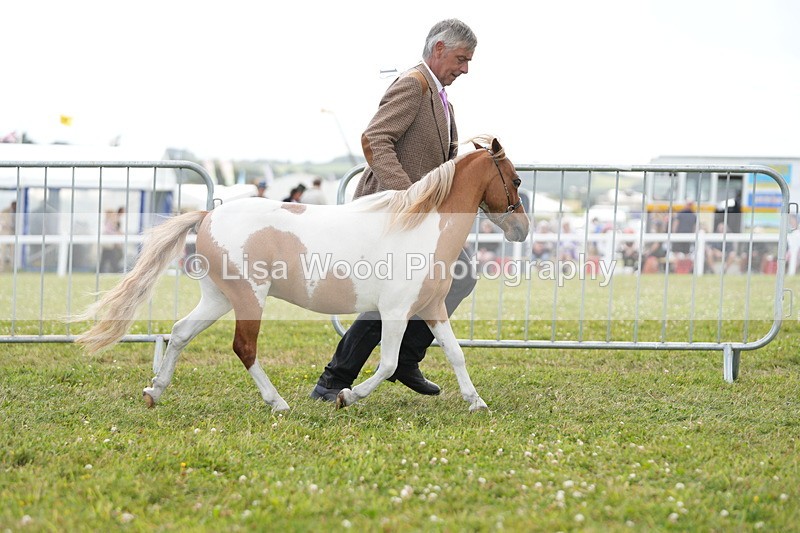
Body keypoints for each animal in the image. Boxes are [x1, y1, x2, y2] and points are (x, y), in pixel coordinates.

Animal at [75, 135, 530, 412]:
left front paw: (476, 402)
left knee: (181, 332)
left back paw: (155, 391)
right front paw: (347, 396)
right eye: (516, 179)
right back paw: (277, 402)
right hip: (249, 299)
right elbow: (386, 364)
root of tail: (207, 216)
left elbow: (455, 353)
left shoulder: (431, 307)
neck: (421, 227)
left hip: (218, 298)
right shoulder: (395, 312)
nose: (522, 229)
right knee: (244, 348)